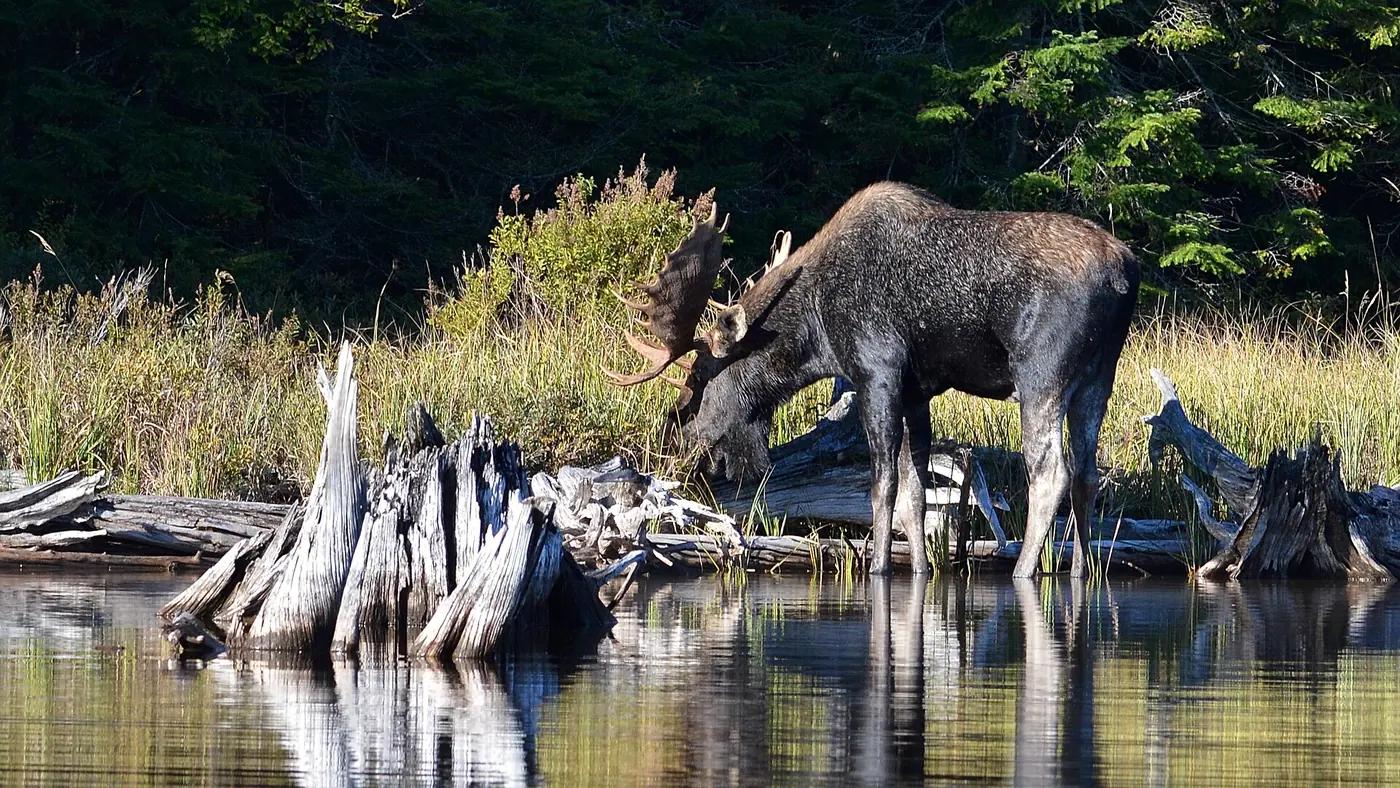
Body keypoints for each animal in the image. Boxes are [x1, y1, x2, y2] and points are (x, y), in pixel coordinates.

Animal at [605, 183, 1139, 578]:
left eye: (697, 380)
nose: (675, 435)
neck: (816, 331)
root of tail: (1125, 272)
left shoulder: (876, 370)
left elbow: (882, 483)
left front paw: (880, 566)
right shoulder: (918, 391)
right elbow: (916, 493)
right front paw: (921, 568)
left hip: (1040, 373)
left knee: (1050, 472)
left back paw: (1025, 570)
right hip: (1099, 377)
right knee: (1088, 473)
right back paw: (1081, 570)